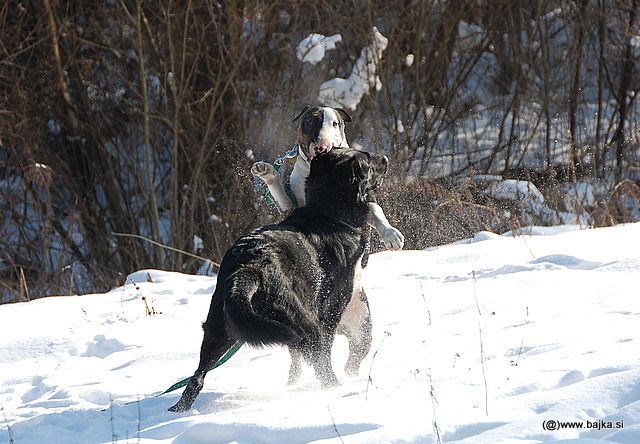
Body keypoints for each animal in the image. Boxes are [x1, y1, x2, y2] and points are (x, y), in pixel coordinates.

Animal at [168, 149, 388, 412]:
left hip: (217, 329)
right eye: (368, 160)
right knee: (322, 365)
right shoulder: (331, 312)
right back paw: (335, 390)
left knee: (197, 378)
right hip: (305, 325)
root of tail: (248, 268)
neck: (328, 213)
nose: (385, 160)